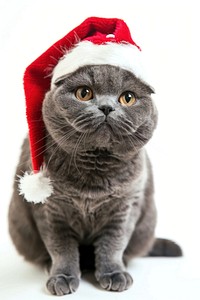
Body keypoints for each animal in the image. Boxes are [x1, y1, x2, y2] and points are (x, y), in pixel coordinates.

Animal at [8, 65, 182, 296]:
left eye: (128, 98)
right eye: (84, 93)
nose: (107, 107)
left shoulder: (125, 206)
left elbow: (113, 244)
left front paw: (114, 273)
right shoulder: (50, 211)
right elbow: (61, 247)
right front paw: (62, 277)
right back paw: (49, 266)